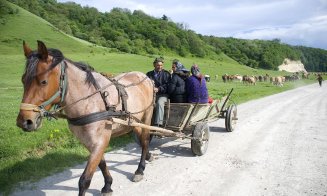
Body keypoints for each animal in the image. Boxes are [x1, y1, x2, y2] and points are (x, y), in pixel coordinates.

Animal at [16, 40, 156, 195]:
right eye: (23, 80)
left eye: (43, 81)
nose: (24, 121)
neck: (90, 102)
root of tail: (146, 77)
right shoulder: (88, 142)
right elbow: (101, 164)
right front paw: (108, 184)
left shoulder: (100, 141)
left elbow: (84, 180)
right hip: (133, 122)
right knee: (141, 139)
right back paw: (147, 156)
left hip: (147, 116)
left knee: (145, 140)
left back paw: (140, 169)